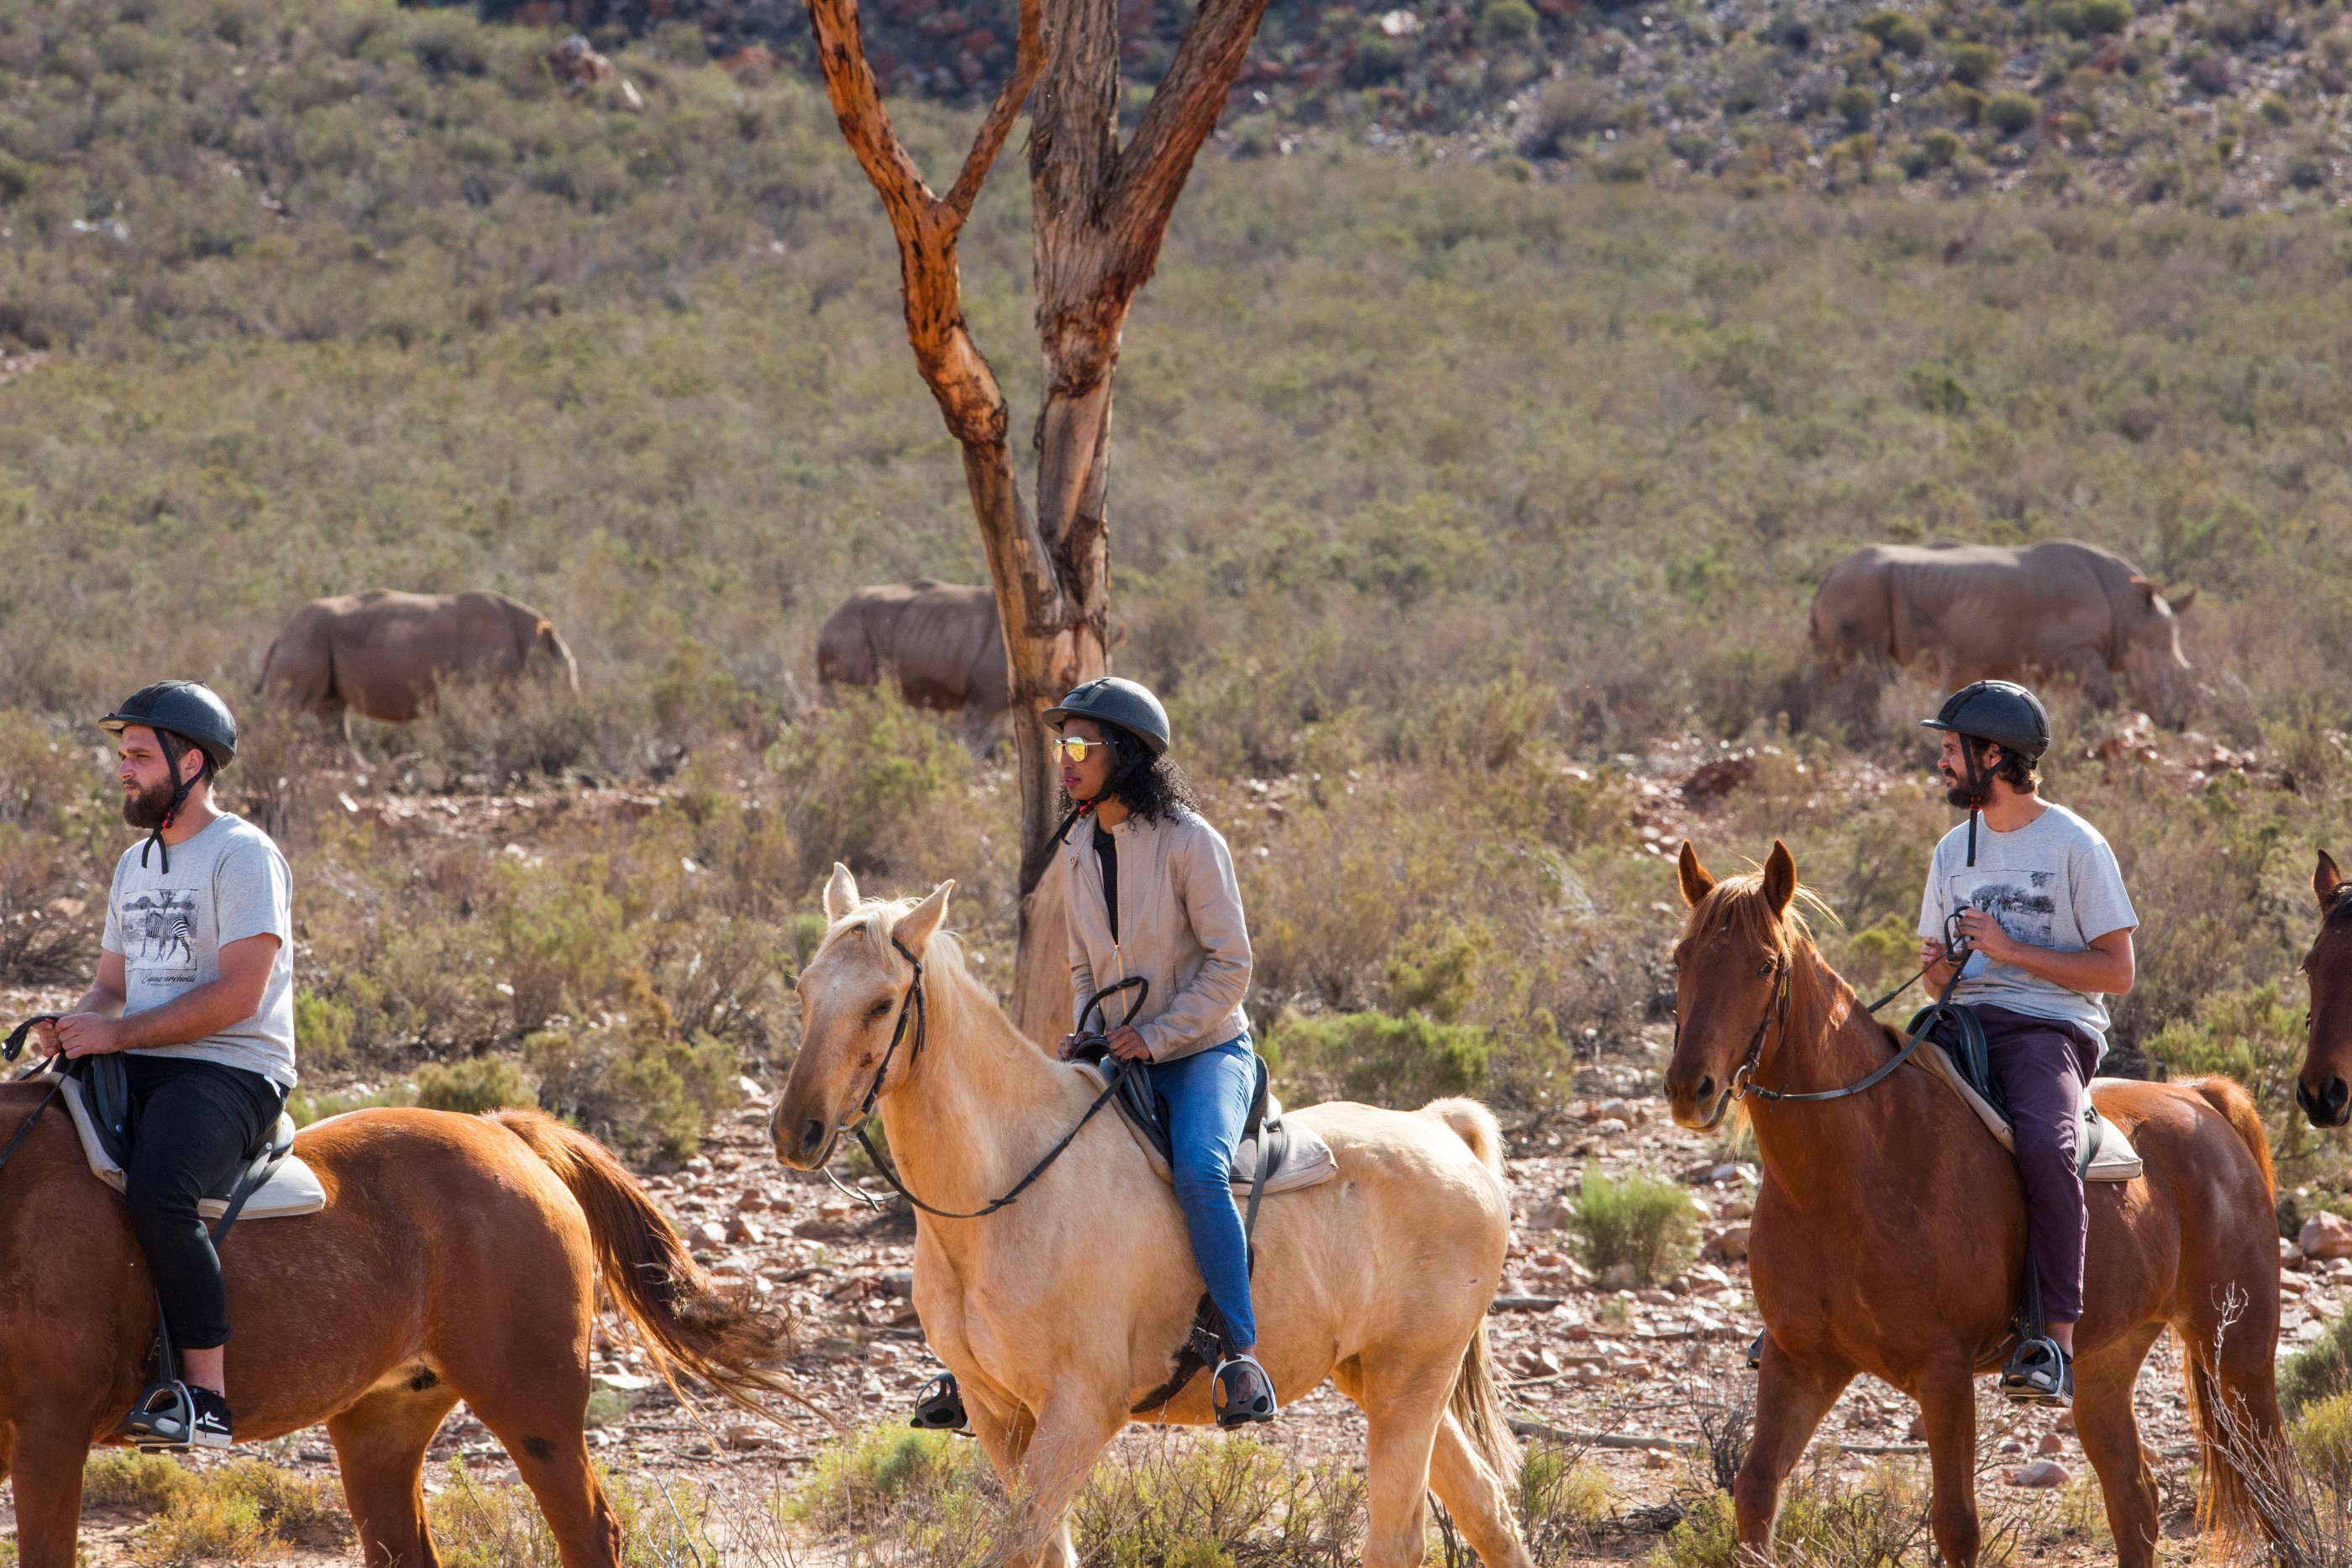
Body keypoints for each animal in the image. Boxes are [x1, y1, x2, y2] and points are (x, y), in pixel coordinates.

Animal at [771, 869, 1533, 1568]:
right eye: (803, 992)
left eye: (880, 1004)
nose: (795, 1131)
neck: (1008, 1188)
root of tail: (1439, 1126)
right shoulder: (998, 1413)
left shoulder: (1080, 1413)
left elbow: (1017, 1545)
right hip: (1375, 1374)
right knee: (1489, 1510)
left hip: (1413, 1379)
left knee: (1401, 1538)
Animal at [1665, 846, 2286, 1568]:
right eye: (1682, 957)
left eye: (1766, 964)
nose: (1690, 1087)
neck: (1851, 1171)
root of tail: (2201, 1100)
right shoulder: (1800, 1361)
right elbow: (1757, 1488)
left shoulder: (1945, 1371)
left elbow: (1957, 1522)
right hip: (2107, 1359)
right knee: (2135, 1497)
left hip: (2238, 1354)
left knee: (2276, 1488)